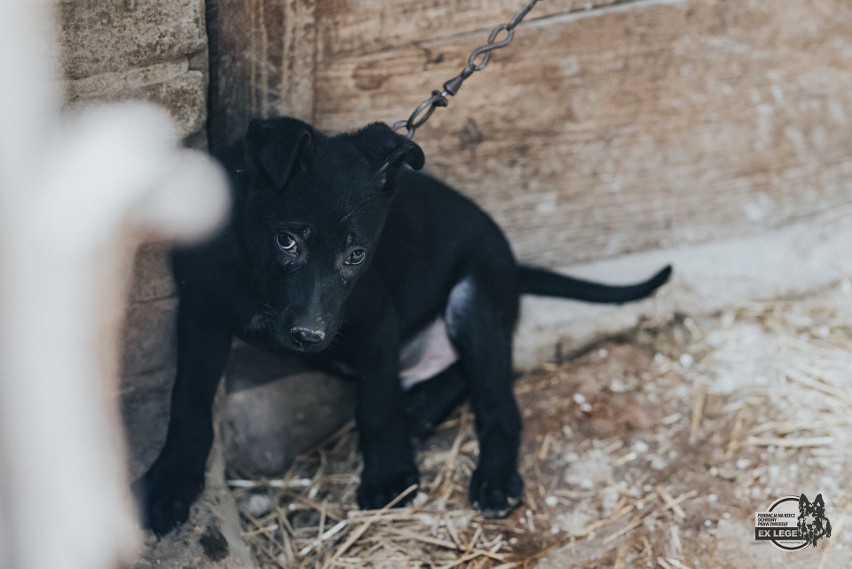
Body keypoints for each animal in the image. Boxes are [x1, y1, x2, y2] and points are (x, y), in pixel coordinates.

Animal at [135, 117, 672, 536]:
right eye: (286, 241)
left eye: (356, 255)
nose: (309, 336)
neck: (253, 275)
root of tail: (515, 267)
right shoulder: (201, 312)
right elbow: (187, 402)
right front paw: (172, 480)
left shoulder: (376, 320)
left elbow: (376, 406)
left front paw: (389, 476)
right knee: (453, 376)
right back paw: (417, 411)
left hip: (471, 300)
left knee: (497, 399)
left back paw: (493, 477)